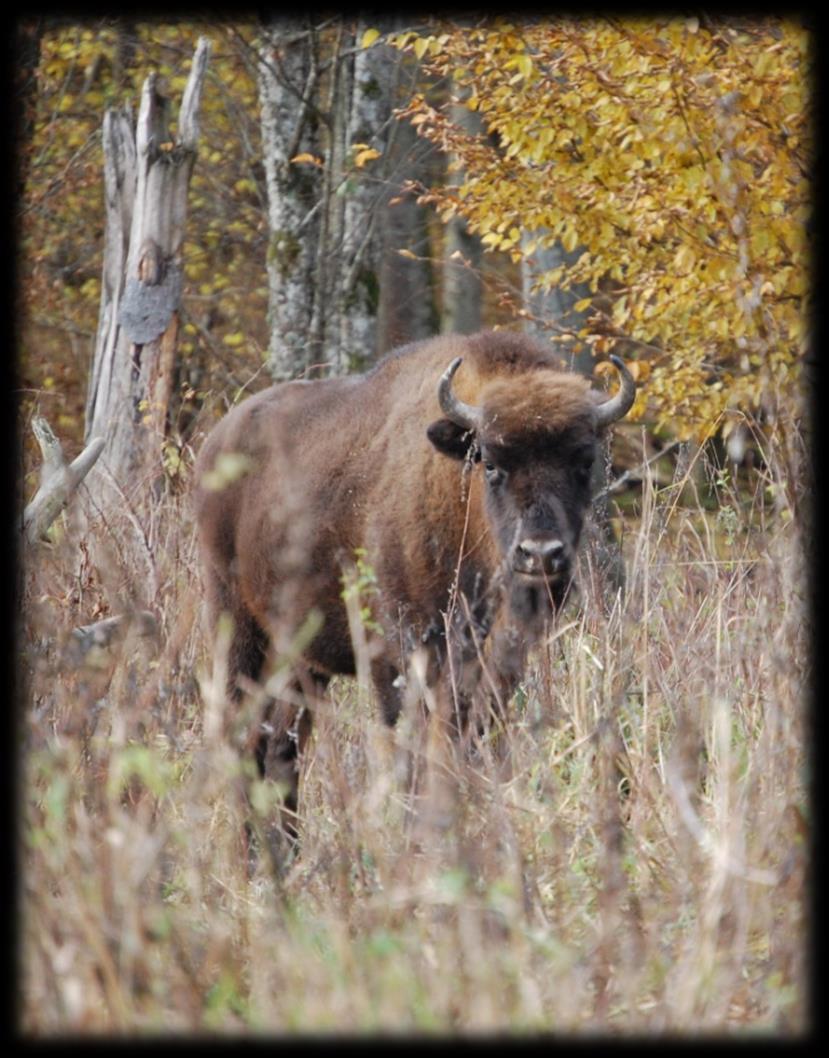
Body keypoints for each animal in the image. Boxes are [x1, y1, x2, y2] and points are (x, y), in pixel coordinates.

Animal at [192, 330, 634, 833]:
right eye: (491, 464)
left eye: (583, 462)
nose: (541, 553)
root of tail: (217, 444)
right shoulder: (401, 654)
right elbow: (414, 747)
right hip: (237, 628)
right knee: (245, 743)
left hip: (301, 658)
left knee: (282, 748)